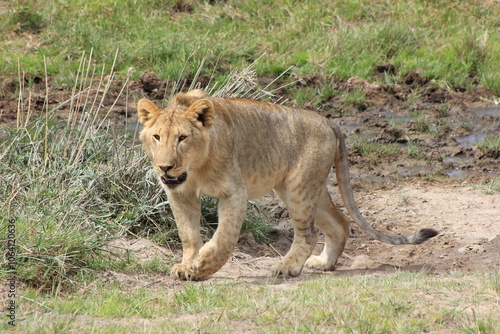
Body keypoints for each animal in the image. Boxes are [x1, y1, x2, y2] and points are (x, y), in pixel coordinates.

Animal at [138, 88, 438, 280]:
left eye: (182, 138)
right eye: (157, 137)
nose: (164, 166)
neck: (195, 169)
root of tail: (328, 121)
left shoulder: (235, 192)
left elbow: (224, 237)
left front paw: (203, 266)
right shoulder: (179, 193)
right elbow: (188, 234)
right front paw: (186, 267)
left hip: (297, 188)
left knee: (309, 234)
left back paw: (288, 268)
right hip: (305, 188)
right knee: (340, 222)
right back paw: (324, 264)